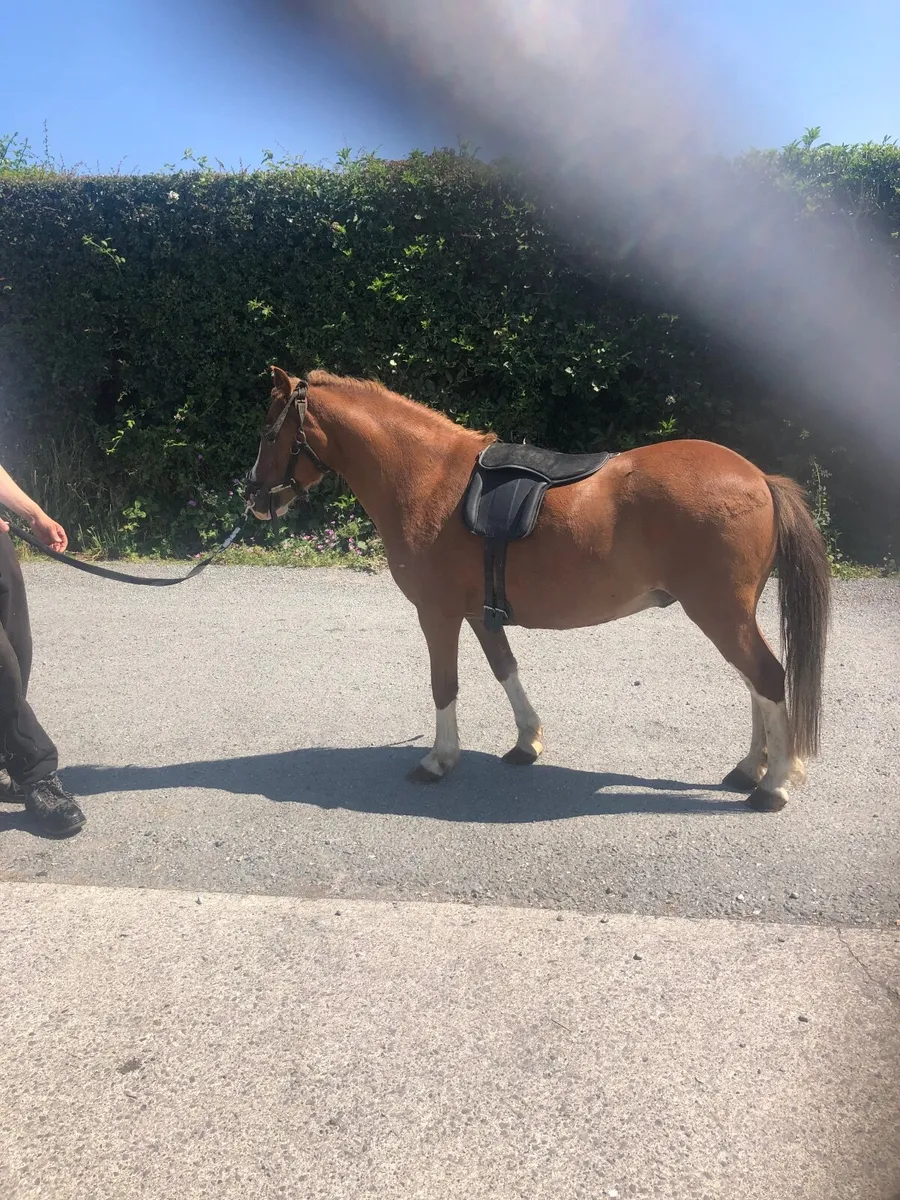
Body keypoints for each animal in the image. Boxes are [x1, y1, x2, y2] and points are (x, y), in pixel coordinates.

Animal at [245, 366, 831, 812]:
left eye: (270, 435)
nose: (253, 497)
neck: (428, 480)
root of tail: (760, 478)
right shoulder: (480, 613)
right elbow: (505, 669)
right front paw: (528, 742)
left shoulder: (438, 614)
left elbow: (444, 685)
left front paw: (439, 760)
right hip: (730, 613)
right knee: (756, 684)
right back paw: (749, 770)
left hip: (718, 612)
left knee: (767, 677)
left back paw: (773, 786)